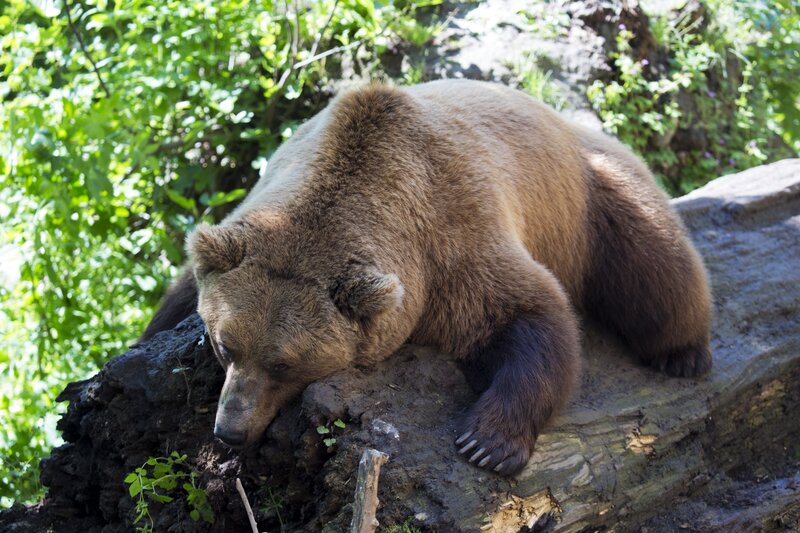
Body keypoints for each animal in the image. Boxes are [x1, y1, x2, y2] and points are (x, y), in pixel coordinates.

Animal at [141, 79, 712, 476]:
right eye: (224, 345)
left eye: (285, 364)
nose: (230, 431)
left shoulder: (452, 242)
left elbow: (531, 313)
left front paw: (487, 443)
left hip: (593, 198)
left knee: (656, 268)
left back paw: (683, 354)